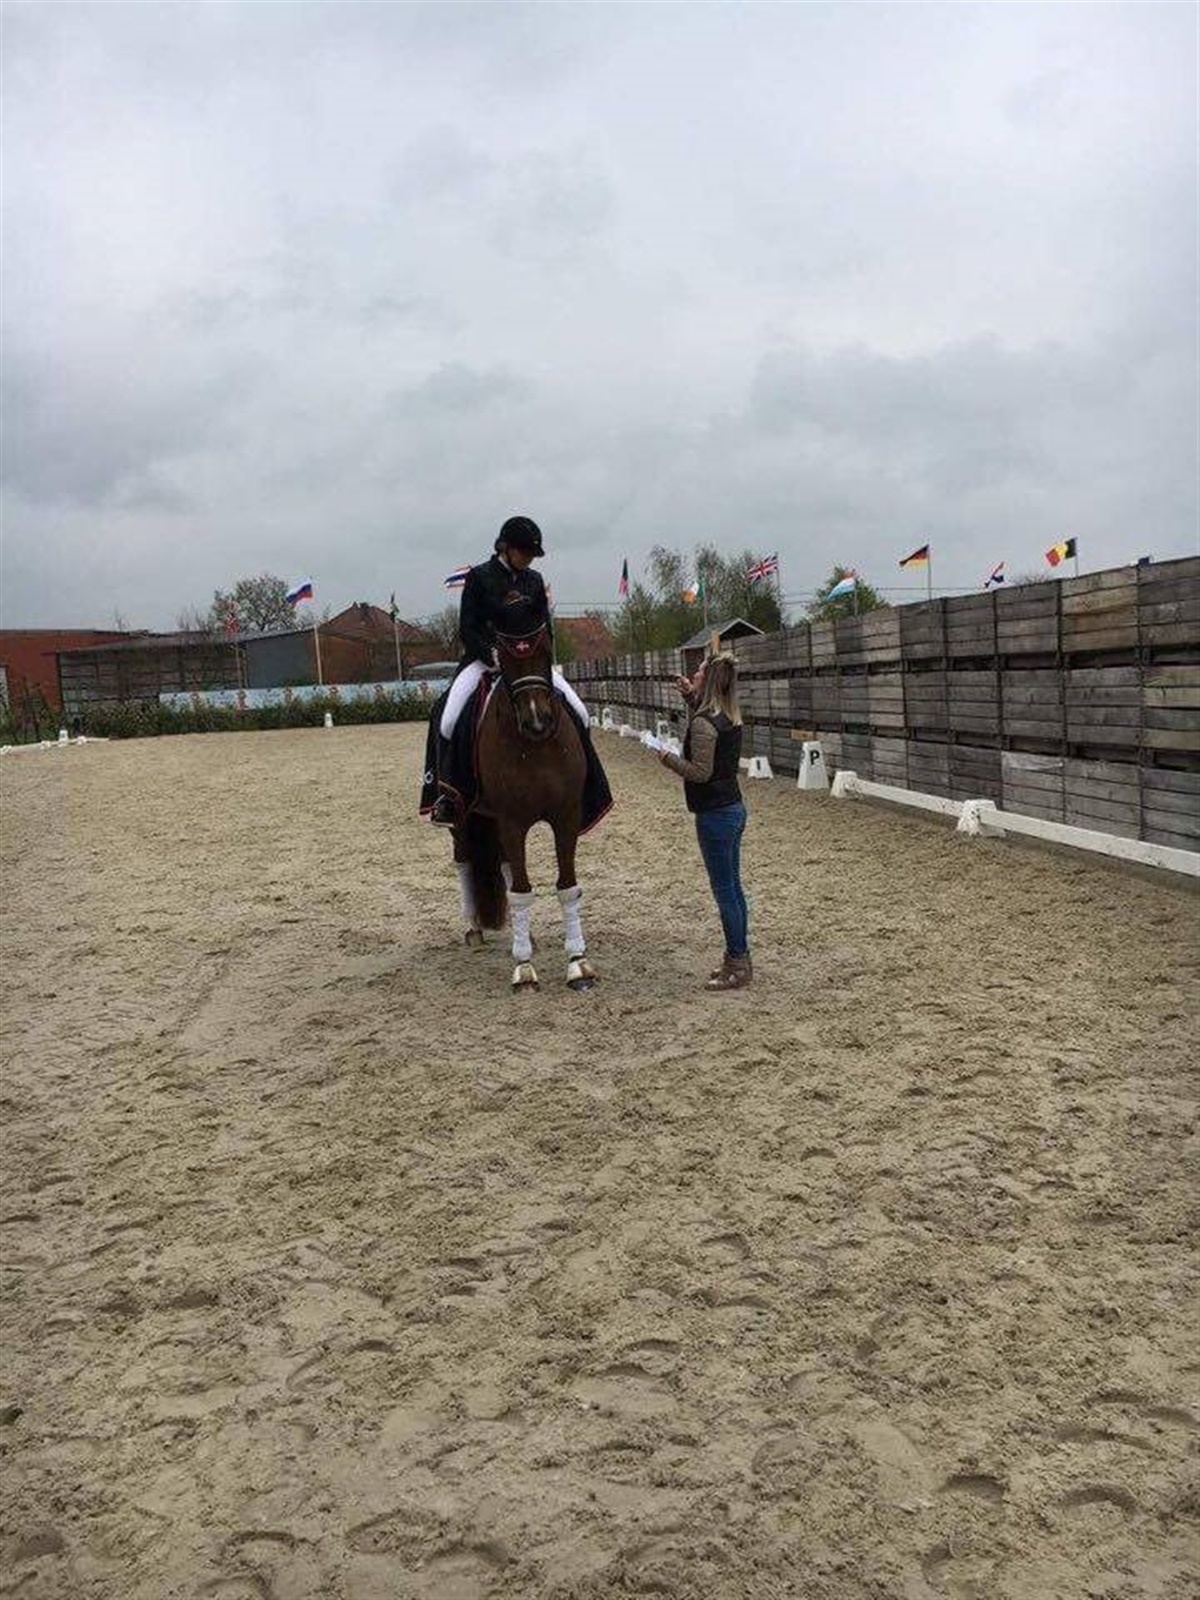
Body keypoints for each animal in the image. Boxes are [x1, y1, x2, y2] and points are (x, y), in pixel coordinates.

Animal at [451, 620, 600, 992]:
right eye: (504, 658)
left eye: (546, 652)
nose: (537, 722)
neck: (536, 749)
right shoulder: (513, 821)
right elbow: (520, 892)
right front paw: (524, 970)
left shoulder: (566, 817)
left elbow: (567, 887)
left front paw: (578, 964)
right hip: (461, 818)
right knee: (463, 864)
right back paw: (473, 928)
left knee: (503, 865)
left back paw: (525, 936)